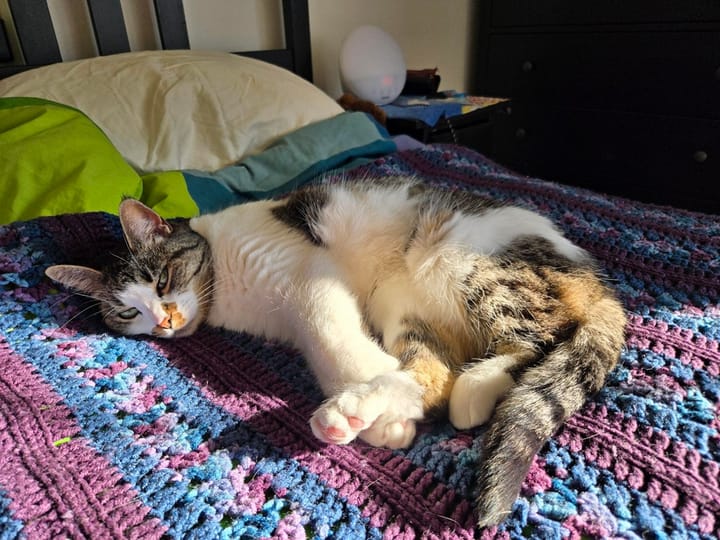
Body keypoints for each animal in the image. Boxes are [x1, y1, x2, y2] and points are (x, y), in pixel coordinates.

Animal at [47, 178, 628, 528]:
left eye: (163, 280)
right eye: (129, 314)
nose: (164, 321)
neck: (222, 284)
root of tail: (593, 274)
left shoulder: (311, 274)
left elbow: (330, 332)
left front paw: (377, 402)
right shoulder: (289, 318)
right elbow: (324, 348)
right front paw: (385, 422)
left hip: (456, 257)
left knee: (539, 338)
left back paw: (466, 388)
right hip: (402, 300)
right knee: (435, 371)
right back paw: (378, 402)